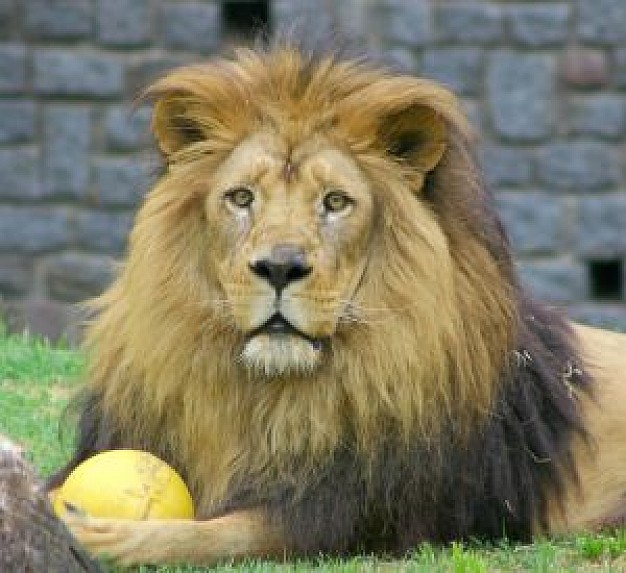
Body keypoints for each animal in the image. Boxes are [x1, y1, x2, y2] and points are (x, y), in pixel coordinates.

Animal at [48, 43, 624, 564]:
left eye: (336, 202)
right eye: (241, 198)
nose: (280, 268)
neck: (256, 397)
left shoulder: (351, 512)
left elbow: (217, 533)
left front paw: (102, 534)